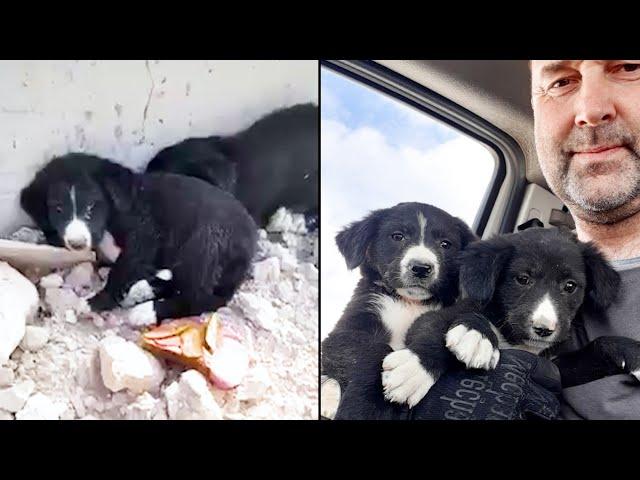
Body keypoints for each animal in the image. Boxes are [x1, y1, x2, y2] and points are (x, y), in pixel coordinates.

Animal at [21, 153, 258, 326]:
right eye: (58, 209)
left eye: (91, 206)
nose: (76, 243)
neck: (115, 212)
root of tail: (249, 243)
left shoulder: (144, 236)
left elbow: (121, 270)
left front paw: (96, 302)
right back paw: (144, 288)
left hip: (206, 243)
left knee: (199, 296)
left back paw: (145, 311)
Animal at [320, 201, 476, 418]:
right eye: (397, 236)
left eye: (445, 244)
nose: (421, 268)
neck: (410, 302)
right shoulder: (347, 329)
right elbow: (374, 350)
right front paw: (366, 407)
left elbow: (435, 326)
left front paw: (412, 371)